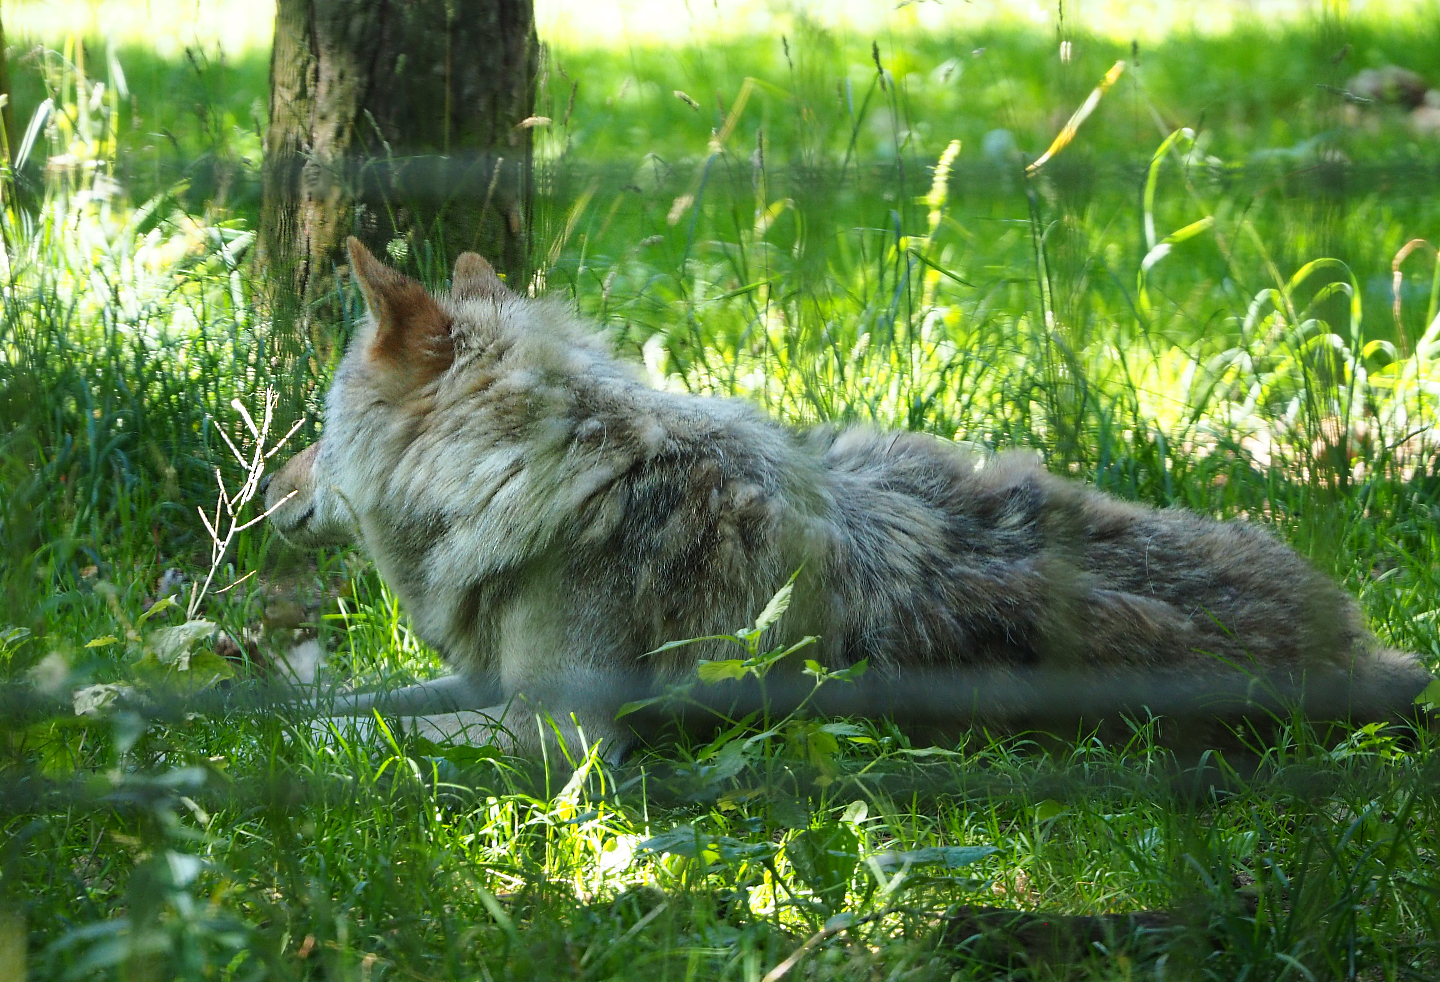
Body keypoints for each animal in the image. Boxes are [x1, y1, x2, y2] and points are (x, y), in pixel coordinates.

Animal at [264, 238, 1433, 760]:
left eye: (320, 424)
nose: (271, 486)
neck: (558, 465)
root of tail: (1368, 650)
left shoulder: (556, 734)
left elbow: (351, 743)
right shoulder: (483, 686)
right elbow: (342, 704)